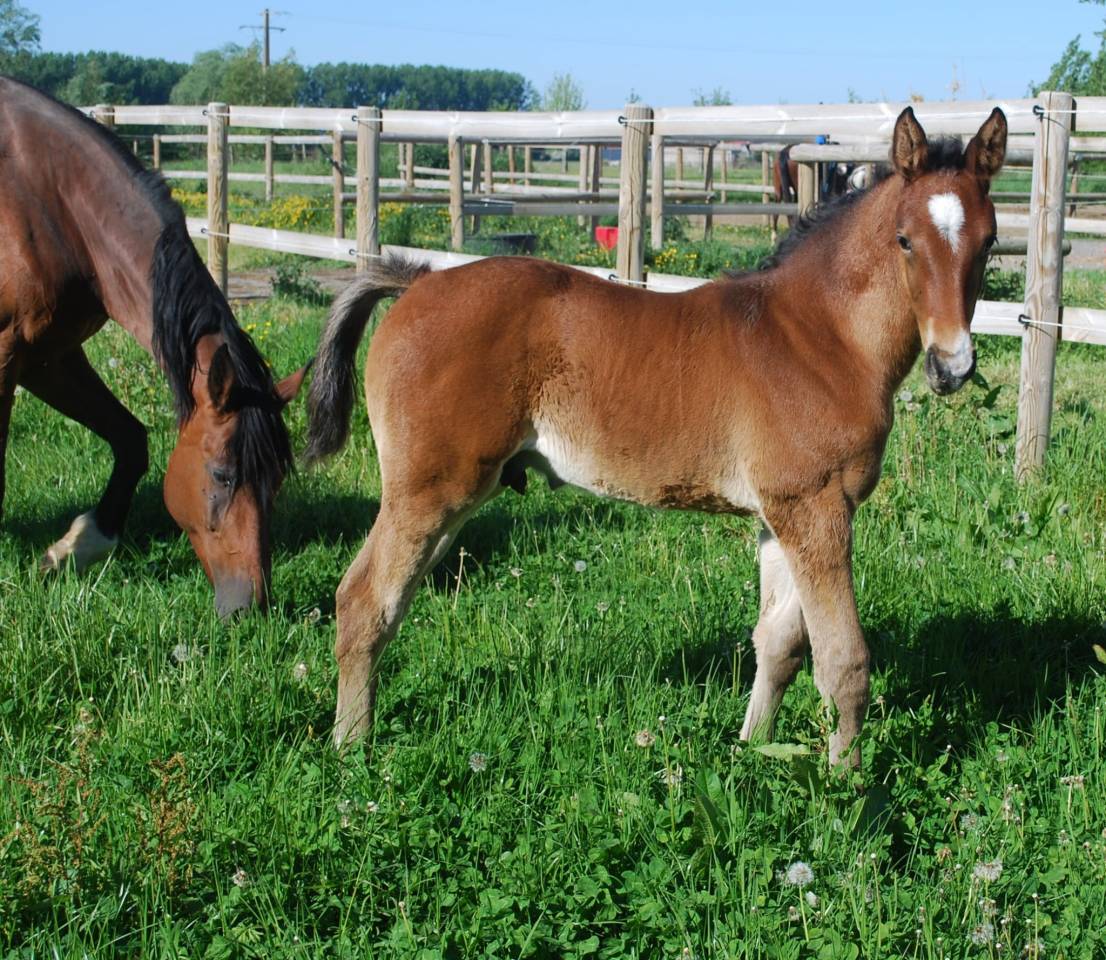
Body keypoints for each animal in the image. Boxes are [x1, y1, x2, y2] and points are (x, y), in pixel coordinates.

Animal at [0, 78, 308, 617]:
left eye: (276, 481)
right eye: (222, 475)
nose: (249, 604)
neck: (46, 199)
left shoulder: (47, 357)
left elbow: (131, 440)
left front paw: (77, 547)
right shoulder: (5, 353)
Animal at [305, 106, 1006, 766]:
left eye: (991, 241)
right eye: (904, 239)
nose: (952, 366)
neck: (821, 336)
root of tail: (419, 281)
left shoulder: (779, 516)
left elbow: (777, 645)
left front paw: (751, 750)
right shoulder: (818, 509)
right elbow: (844, 662)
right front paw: (846, 786)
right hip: (431, 490)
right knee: (364, 600)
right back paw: (350, 748)